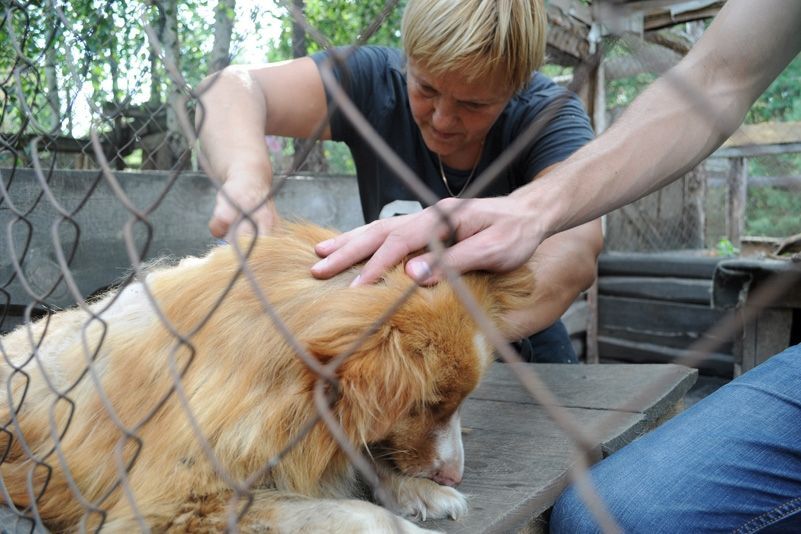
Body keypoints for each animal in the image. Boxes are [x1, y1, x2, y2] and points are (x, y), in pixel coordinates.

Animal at [3, 222, 536, 534]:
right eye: (426, 405)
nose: (454, 474)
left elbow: (359, 456)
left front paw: (422, 492)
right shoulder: (169, 503)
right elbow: (357, 512)